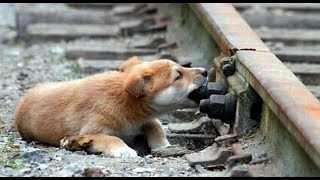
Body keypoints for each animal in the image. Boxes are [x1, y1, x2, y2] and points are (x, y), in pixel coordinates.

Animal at [15, 56, 208, 158]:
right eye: (178, 75)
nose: (206, 71)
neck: (125, 104)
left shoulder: (145, 119)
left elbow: (155, 125)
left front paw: (163, 145)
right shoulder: (89, 132)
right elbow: (113, 139)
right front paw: (125, 150)